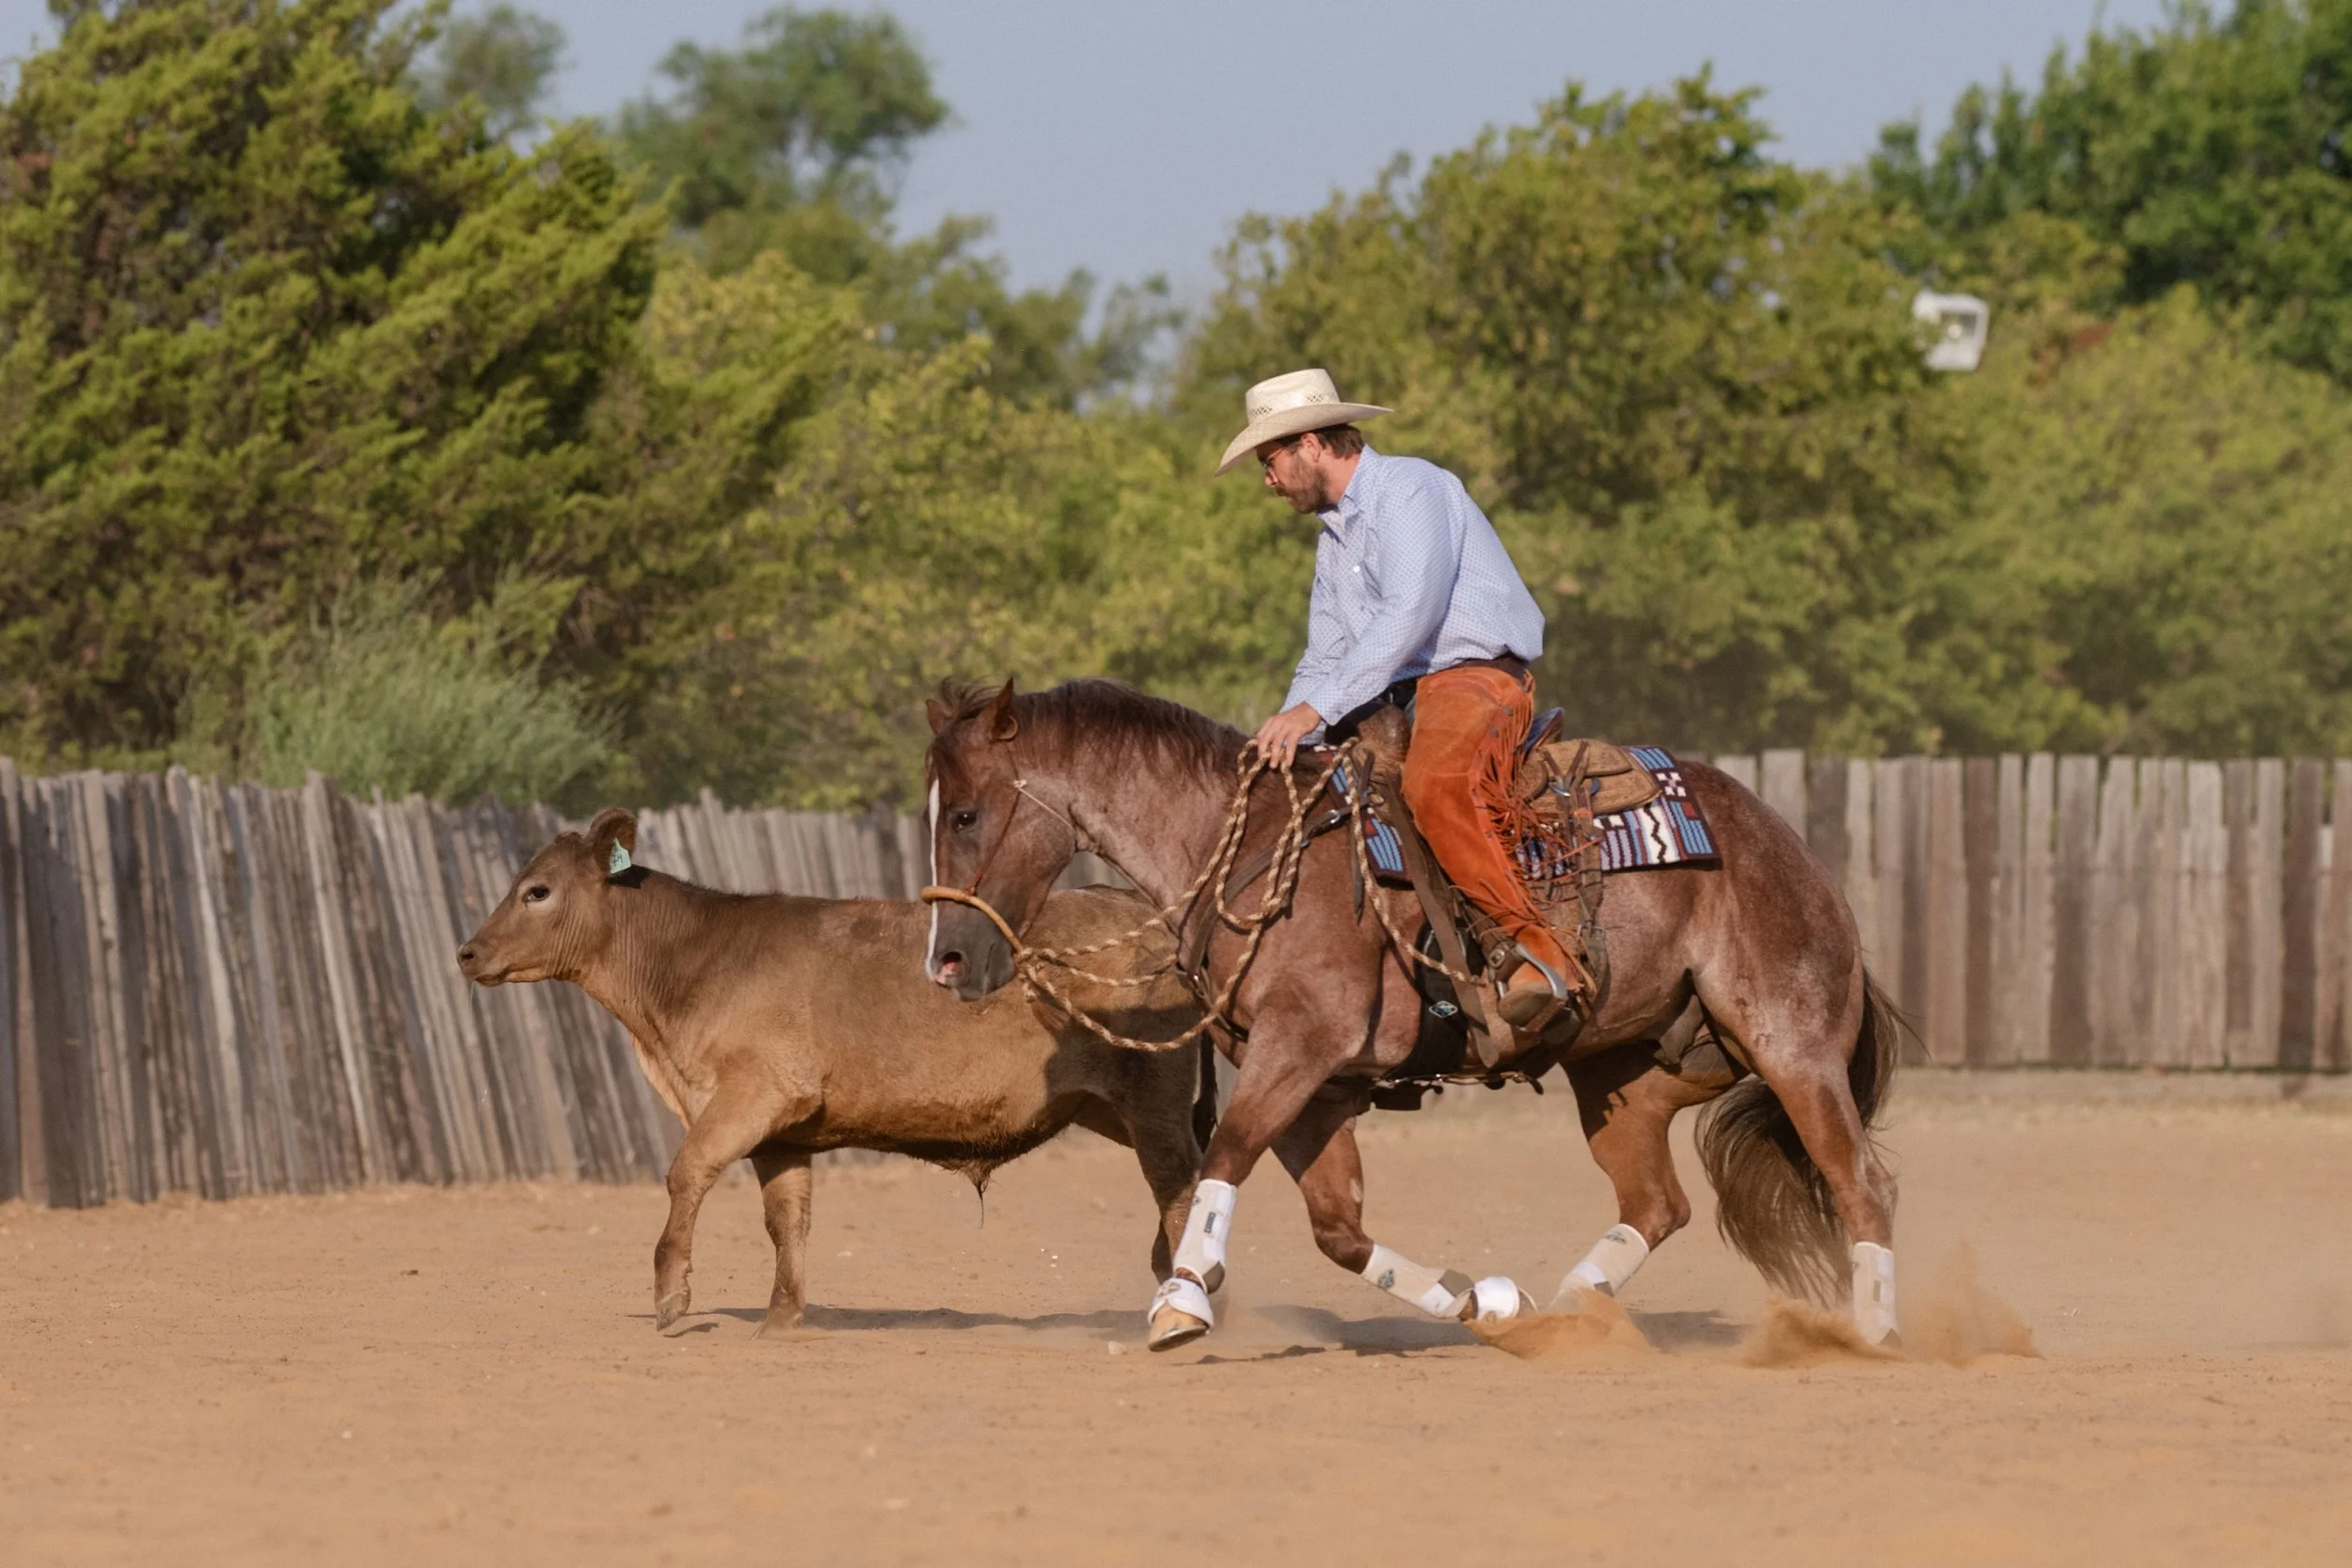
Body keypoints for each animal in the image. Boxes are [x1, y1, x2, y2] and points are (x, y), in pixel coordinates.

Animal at [920, 678, 1901, 1352]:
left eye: (966, 813)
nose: (946, 960)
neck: (1255, 852)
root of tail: (1789, 848)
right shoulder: (1317, 1089)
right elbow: (1338, 1229)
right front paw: (1479, 1300)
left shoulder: (1296, 1048)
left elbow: (1223, 1156)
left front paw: (1183, 1300)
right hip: (1620, 1078)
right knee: (1657, 1204)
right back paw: (1556, 1314)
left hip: (1791, 1045)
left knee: (1859, 1183)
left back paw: (1878, 1334)